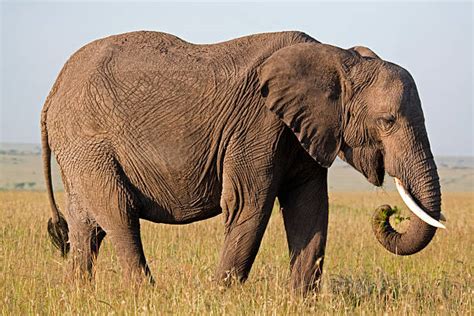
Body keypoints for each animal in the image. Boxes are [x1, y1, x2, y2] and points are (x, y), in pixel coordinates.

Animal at [42, 30, 446, 296]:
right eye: (387, 121)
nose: (389, 211)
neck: (338, 58)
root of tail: (53, 90)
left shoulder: (306, 130)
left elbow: (310, 208)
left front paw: (300, 302)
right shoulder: (258, 124)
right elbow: (248, 203)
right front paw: (221, 299)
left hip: (78, 147)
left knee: (86, 224)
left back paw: (75, 294)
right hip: (88, 140)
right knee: (118, 211)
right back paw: (146, 295)